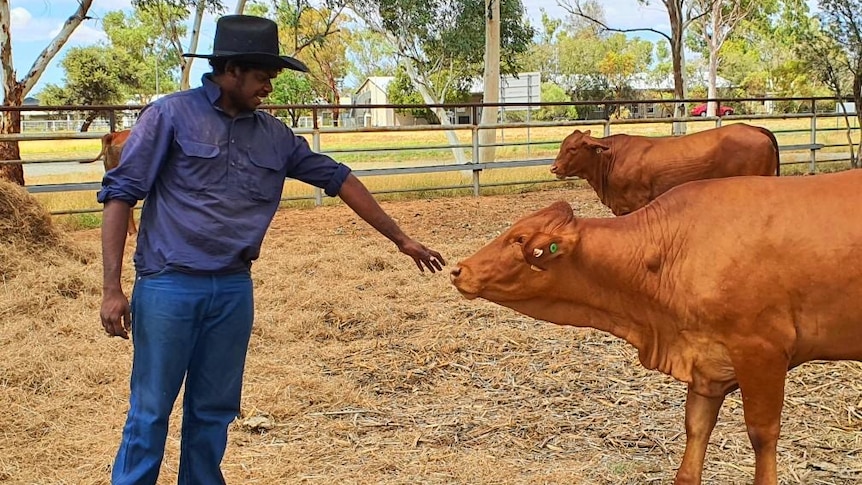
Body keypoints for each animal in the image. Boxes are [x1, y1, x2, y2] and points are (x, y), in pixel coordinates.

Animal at [448, 170, 862, 484]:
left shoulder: (763, 351)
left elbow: (762, 434)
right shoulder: (707, 366)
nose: (459, 270)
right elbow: (694, 435)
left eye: (519, 240)